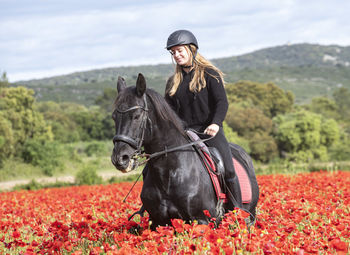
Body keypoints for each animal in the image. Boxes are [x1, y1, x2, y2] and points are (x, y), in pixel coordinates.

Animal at [112, 73, 260, 229]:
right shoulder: (158, 223)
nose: (119, 158)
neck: (169, 173)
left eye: (136, 116)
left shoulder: (201, 221)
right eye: (114, 117)